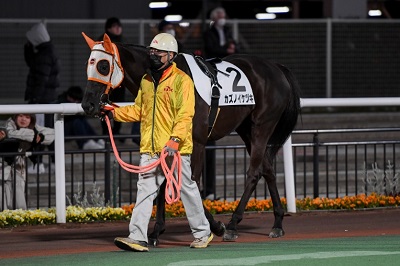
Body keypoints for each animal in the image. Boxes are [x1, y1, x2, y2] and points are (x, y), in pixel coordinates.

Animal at [80, 33, 300, 245]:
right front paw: (156, 231)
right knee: (268, 168)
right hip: (246, 129)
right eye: (88, 65)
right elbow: (164, 182)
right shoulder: (167, 141)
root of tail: (277, 68)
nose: (87, 105)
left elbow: (191, 182)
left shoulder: (198, 143)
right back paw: (278, 222)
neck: (162, 74)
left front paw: (216, 226)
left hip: (262, 125)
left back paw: (232, 225)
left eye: (102, 65)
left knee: (254, 172)